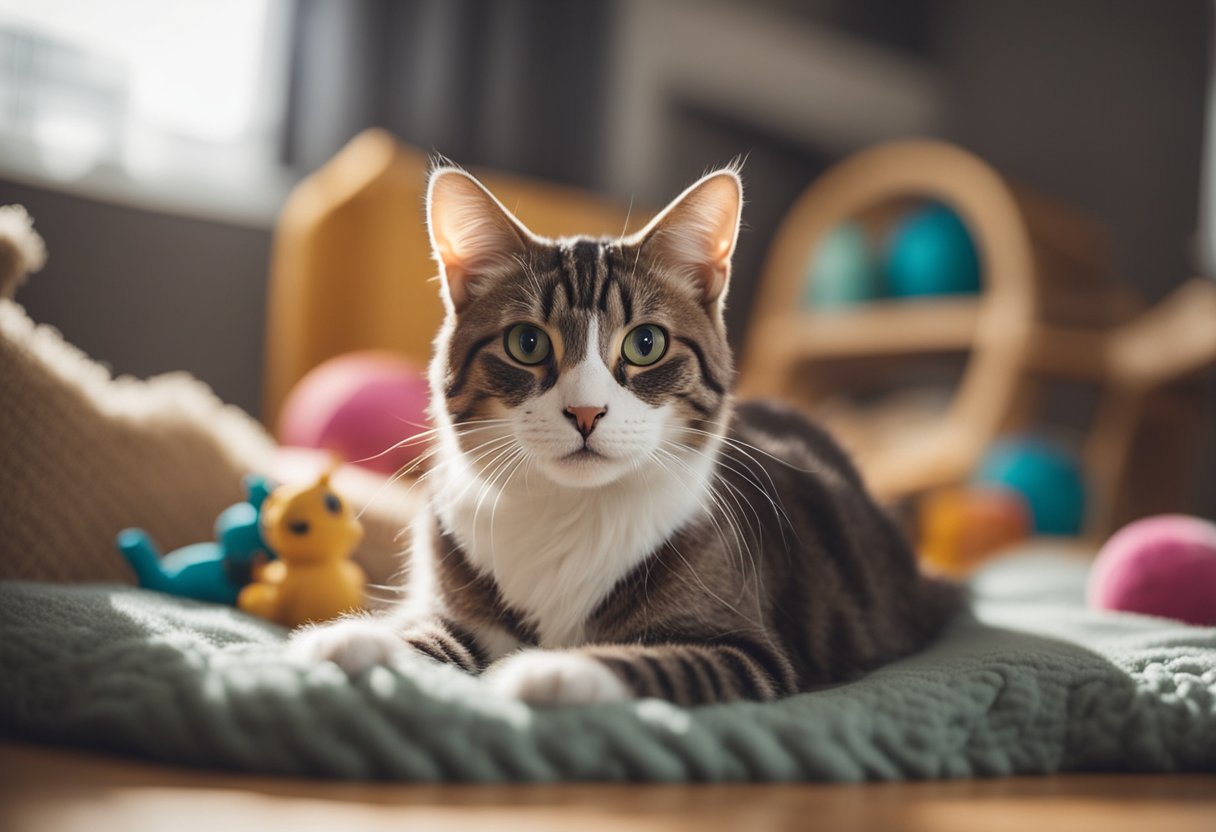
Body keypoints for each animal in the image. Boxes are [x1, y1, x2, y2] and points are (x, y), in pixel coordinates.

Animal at [289, 165, 963, 705]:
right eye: (527, 342)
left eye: (645, 343)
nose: (586, 412)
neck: (570, 510)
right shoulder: (459, 599)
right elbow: (426, 630)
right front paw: (354, 638)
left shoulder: (751, 651)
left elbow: (655, 660)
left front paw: (548, 672)